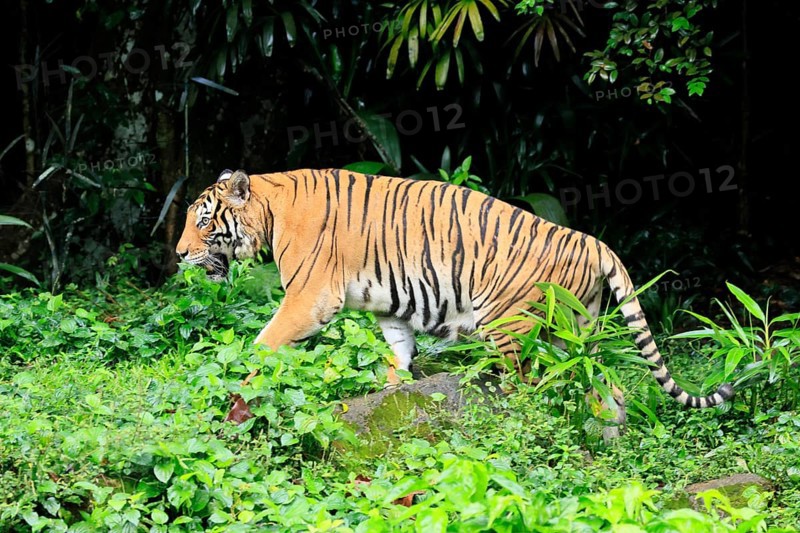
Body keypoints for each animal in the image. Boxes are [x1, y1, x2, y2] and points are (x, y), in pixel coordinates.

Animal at [176, 168, 733, 428]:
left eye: (203, 221)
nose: (179, 254)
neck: (270, 211)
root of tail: (592, 241)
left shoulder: (309, 298)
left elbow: (263, 342)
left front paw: (238, 385)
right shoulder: (389, 307)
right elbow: (397, 352)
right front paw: (392, 394)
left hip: (513, 327)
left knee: (532, 386)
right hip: (578, 333)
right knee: (603, 384)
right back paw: (608, 426)